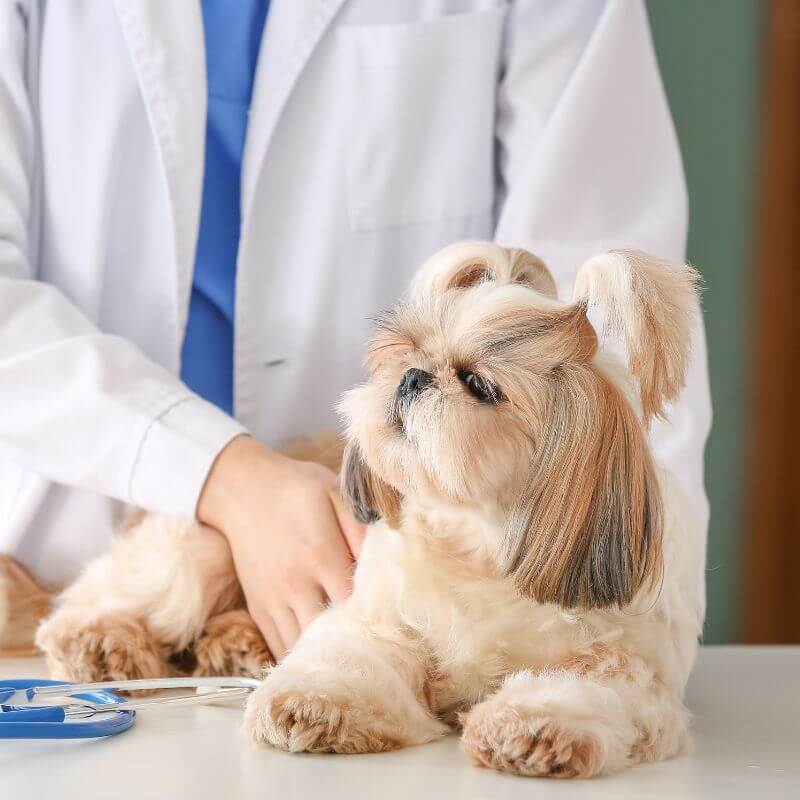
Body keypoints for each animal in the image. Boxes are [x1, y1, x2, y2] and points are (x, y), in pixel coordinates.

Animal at [31, 241, 700, 780]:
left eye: (481, 385)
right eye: (408, 352)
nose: (412, 378)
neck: (481, 546)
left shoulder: (625, 667)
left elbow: (575, 691)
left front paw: (533, 730)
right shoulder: (379, 619)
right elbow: (347, 659)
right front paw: (312, 704)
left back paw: (235, 643)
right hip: (201, 547)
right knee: (117, 598)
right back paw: (103, 643)